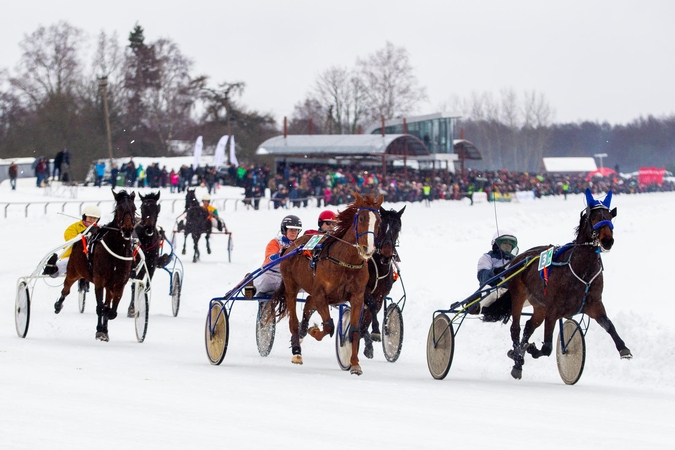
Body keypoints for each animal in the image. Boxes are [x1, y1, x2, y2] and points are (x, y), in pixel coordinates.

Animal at [54, 190, 138, 342]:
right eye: (119, 209)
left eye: (134, 208)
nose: (127, 230)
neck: (117, 248)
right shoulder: (99, 280)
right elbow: (100, 307)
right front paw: (100, 330)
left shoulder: (119, 282)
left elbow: (111, 309)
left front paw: (105, 326)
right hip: (73, 271)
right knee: (66, 289)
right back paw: (58, 305)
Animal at [270, 193, 386, 376]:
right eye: (361, 218)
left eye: (379, 221)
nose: (368, 249)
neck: (345, 262)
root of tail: (292, 246)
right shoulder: (321, 295)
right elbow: (329, 326)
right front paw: (314, 331)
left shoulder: (357, 296)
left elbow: (354, 329)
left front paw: (354, 364)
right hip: (291, 287)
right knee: (294, 320)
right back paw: (297, 351)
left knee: (308, 303)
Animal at [362, 205, 404, 358]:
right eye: (381, 225)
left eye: (398, 227)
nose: (386, 253)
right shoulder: (364, 291)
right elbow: (372, 307)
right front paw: (374, 332)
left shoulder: (381, 295)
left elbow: (370, 314)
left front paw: (368, 342)